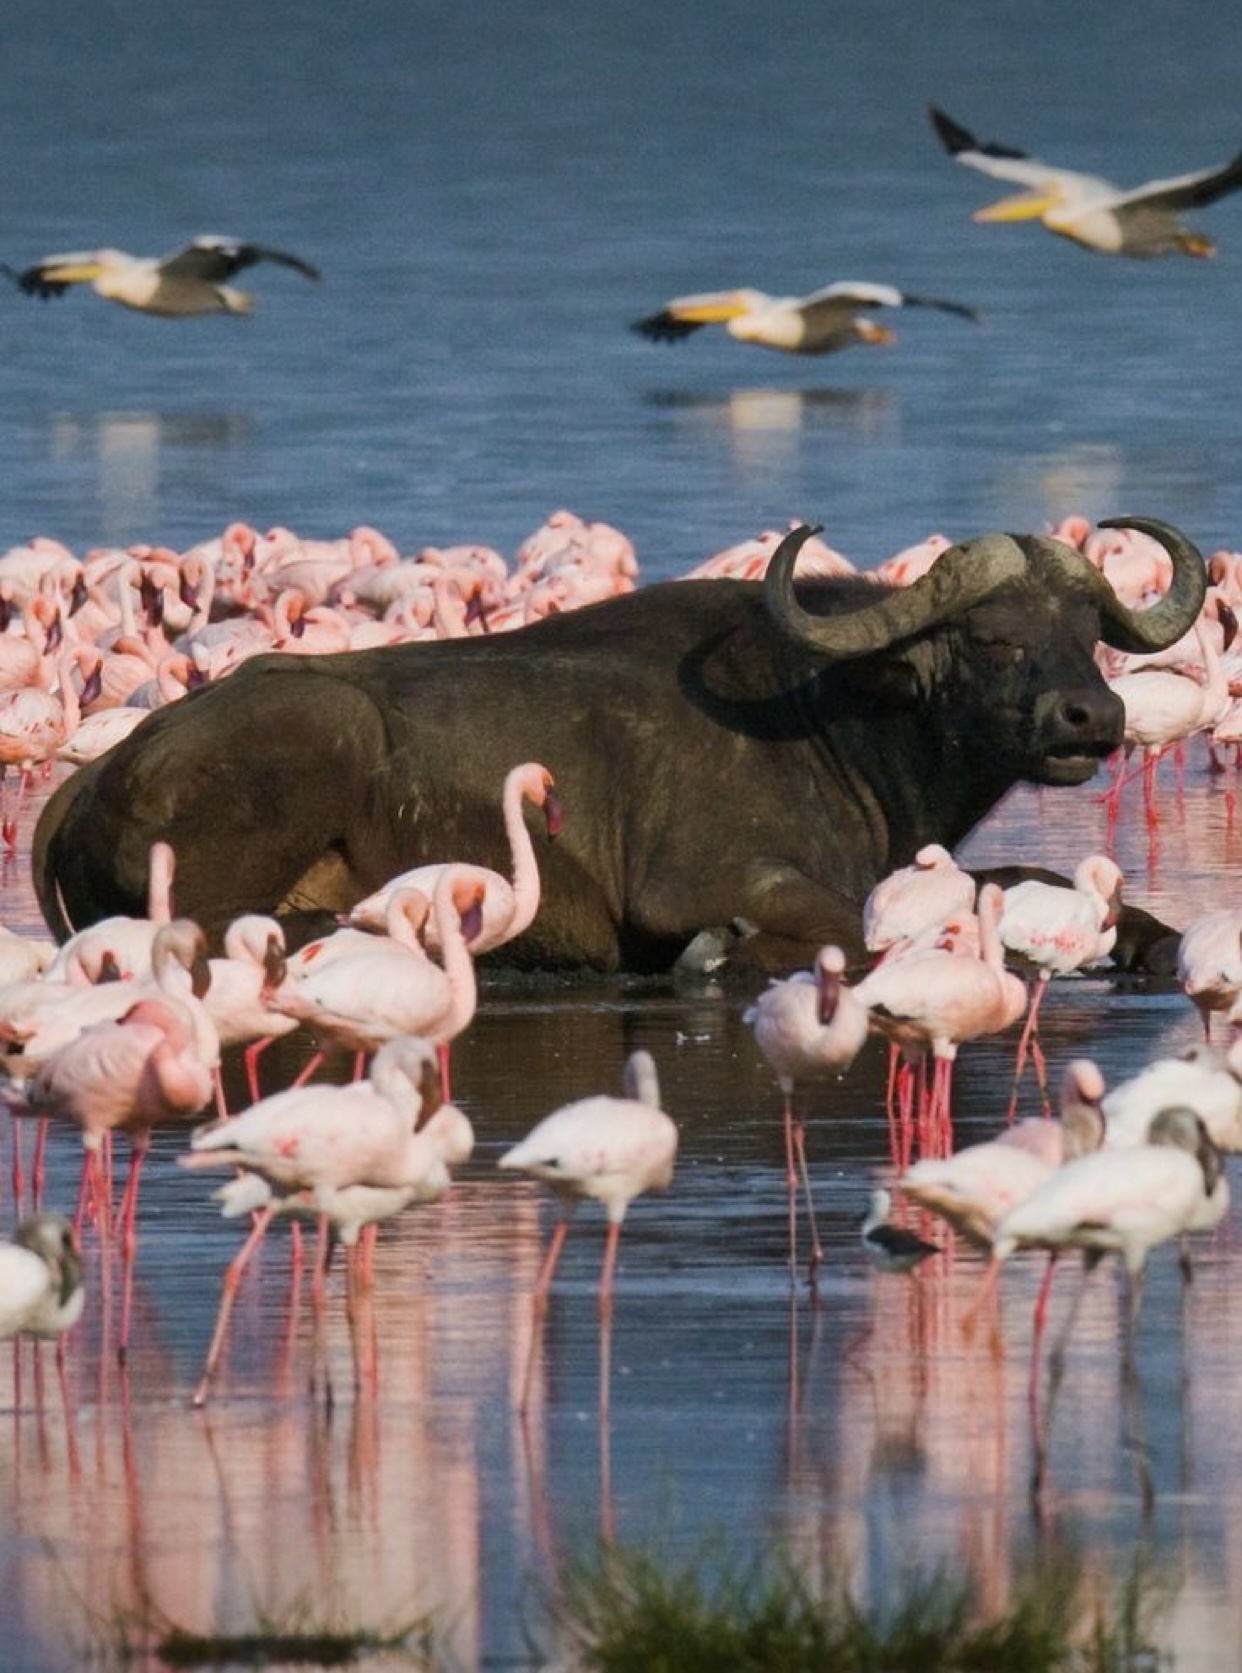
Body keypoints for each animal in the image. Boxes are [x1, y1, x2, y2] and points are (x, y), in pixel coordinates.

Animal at [36, 515, 1205, 977]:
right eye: (992, 636)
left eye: (1086, 631)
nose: (1092, 719)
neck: (834, 719)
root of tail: (98, 773)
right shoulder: (709, 882)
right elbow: (863, 929)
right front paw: (726, 955)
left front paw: (1148, 939)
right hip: (320, 733)